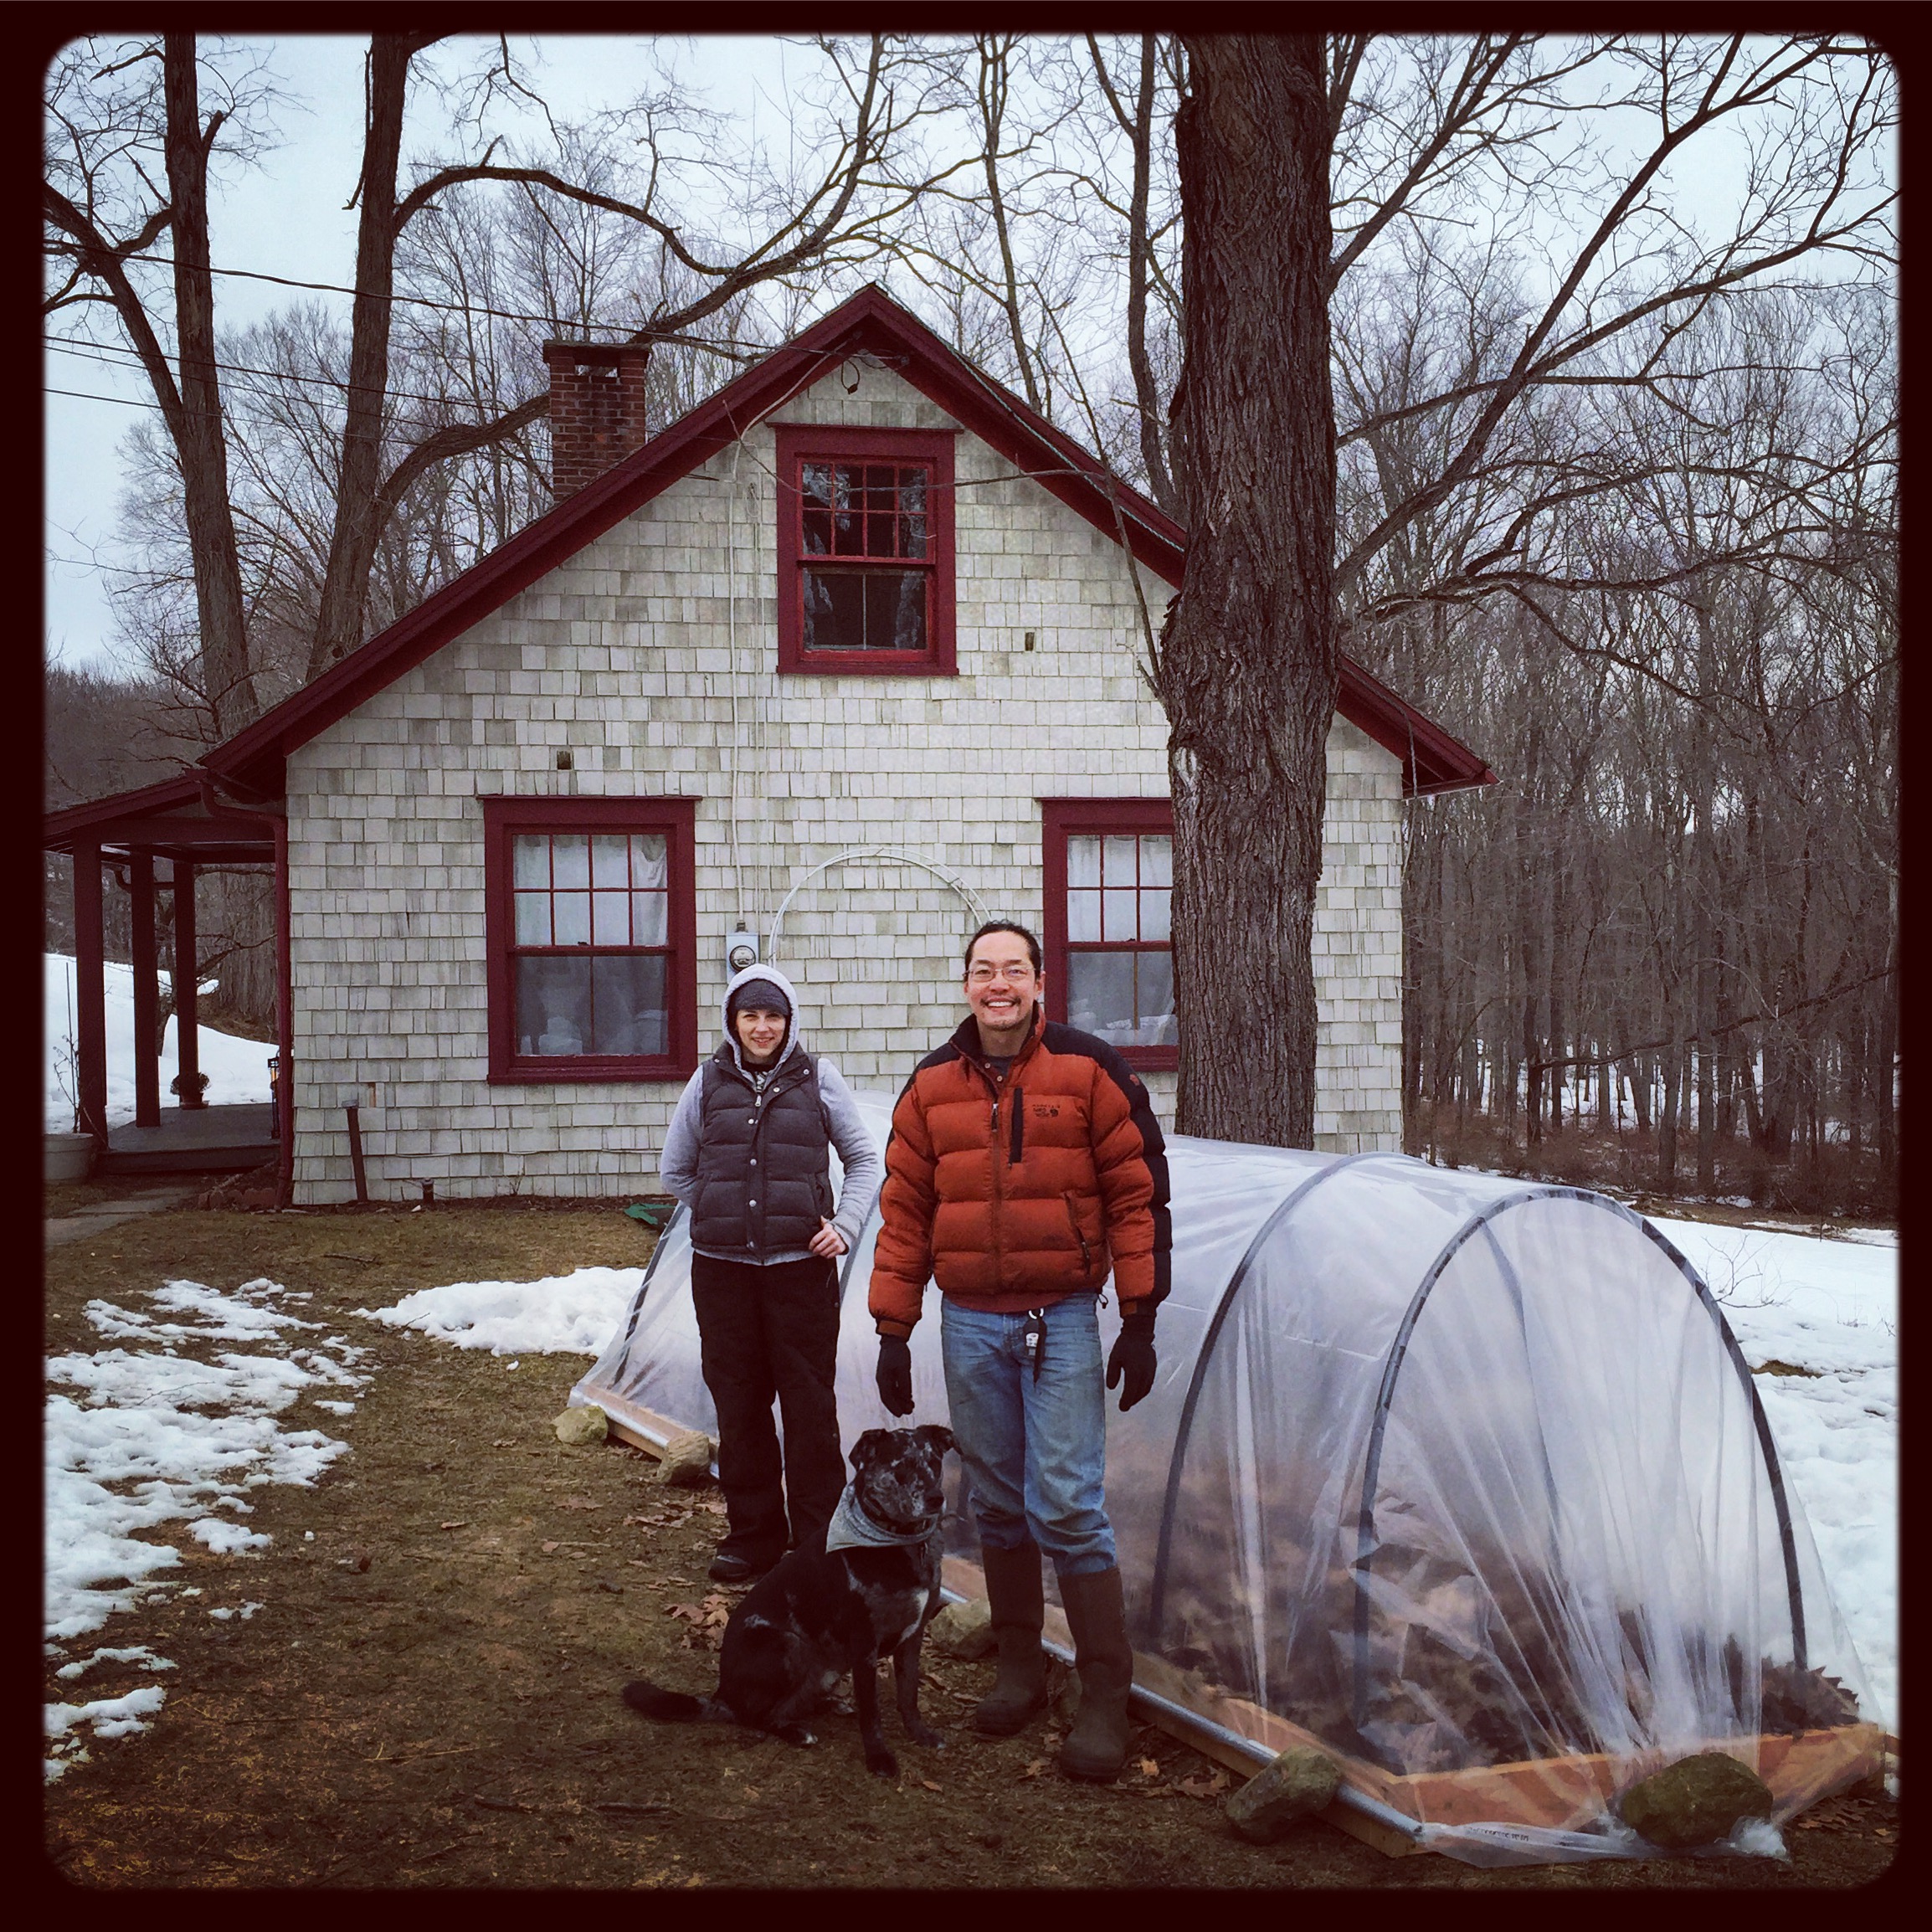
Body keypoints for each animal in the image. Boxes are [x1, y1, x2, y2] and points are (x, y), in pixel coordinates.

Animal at [618, 1421, 950, 1777]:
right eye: (901, 1467)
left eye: (935, 1462)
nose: (937, 1499)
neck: (902, 1543)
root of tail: (723, 1696)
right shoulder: (864, 1644)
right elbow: (871, 1711)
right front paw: (878, 1757)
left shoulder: (912, 1640)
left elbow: (909, 1695)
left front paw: (920, 1734)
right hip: (790, 1644)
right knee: (758, 1717)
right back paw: (796, 1732)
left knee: (793, 1702)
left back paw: (828, 1704)